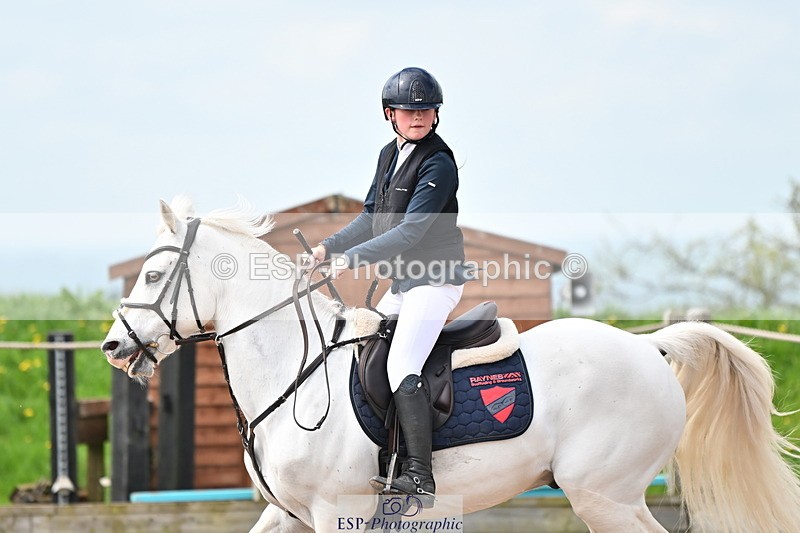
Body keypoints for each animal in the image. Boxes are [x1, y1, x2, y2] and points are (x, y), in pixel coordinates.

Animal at [101, 197, 800, 532]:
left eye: (154, 276)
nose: (112, 347)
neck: (294, 370)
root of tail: (647, 345)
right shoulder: (288, 514)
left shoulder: (331, 512)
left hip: (604, 495)